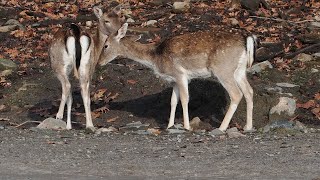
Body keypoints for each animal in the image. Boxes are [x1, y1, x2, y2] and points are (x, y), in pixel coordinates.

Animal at [99, 23, 256, 131]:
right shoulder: (173, 80)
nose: (99, 62)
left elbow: (185, 99)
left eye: (105, 45)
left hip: (223, 69)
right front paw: (169, 125)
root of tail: (246, 40)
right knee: (249, 91)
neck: (155, 58)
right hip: (240, 70)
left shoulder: (180, 74)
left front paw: (187, 126)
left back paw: (222, 127)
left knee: (236, 94)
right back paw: (248, 126)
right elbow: (173, 101)